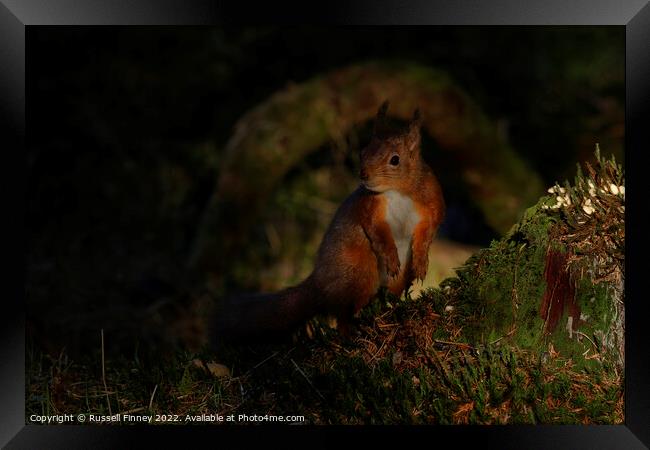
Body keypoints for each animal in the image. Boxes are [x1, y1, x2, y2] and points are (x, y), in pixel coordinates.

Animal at [210, 100, 442, 342]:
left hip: (389, 280)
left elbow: (428, 231)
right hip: (360, 273)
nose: (363, 174)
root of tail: (320, 284)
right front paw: (390, 256)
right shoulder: (369, 209)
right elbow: (377, 232)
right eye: (363, 152)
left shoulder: (432, 203)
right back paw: (352, 330)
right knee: (342, 313)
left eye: (395, 160)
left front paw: (422, 260)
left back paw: (390, 309)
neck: (397, 191)